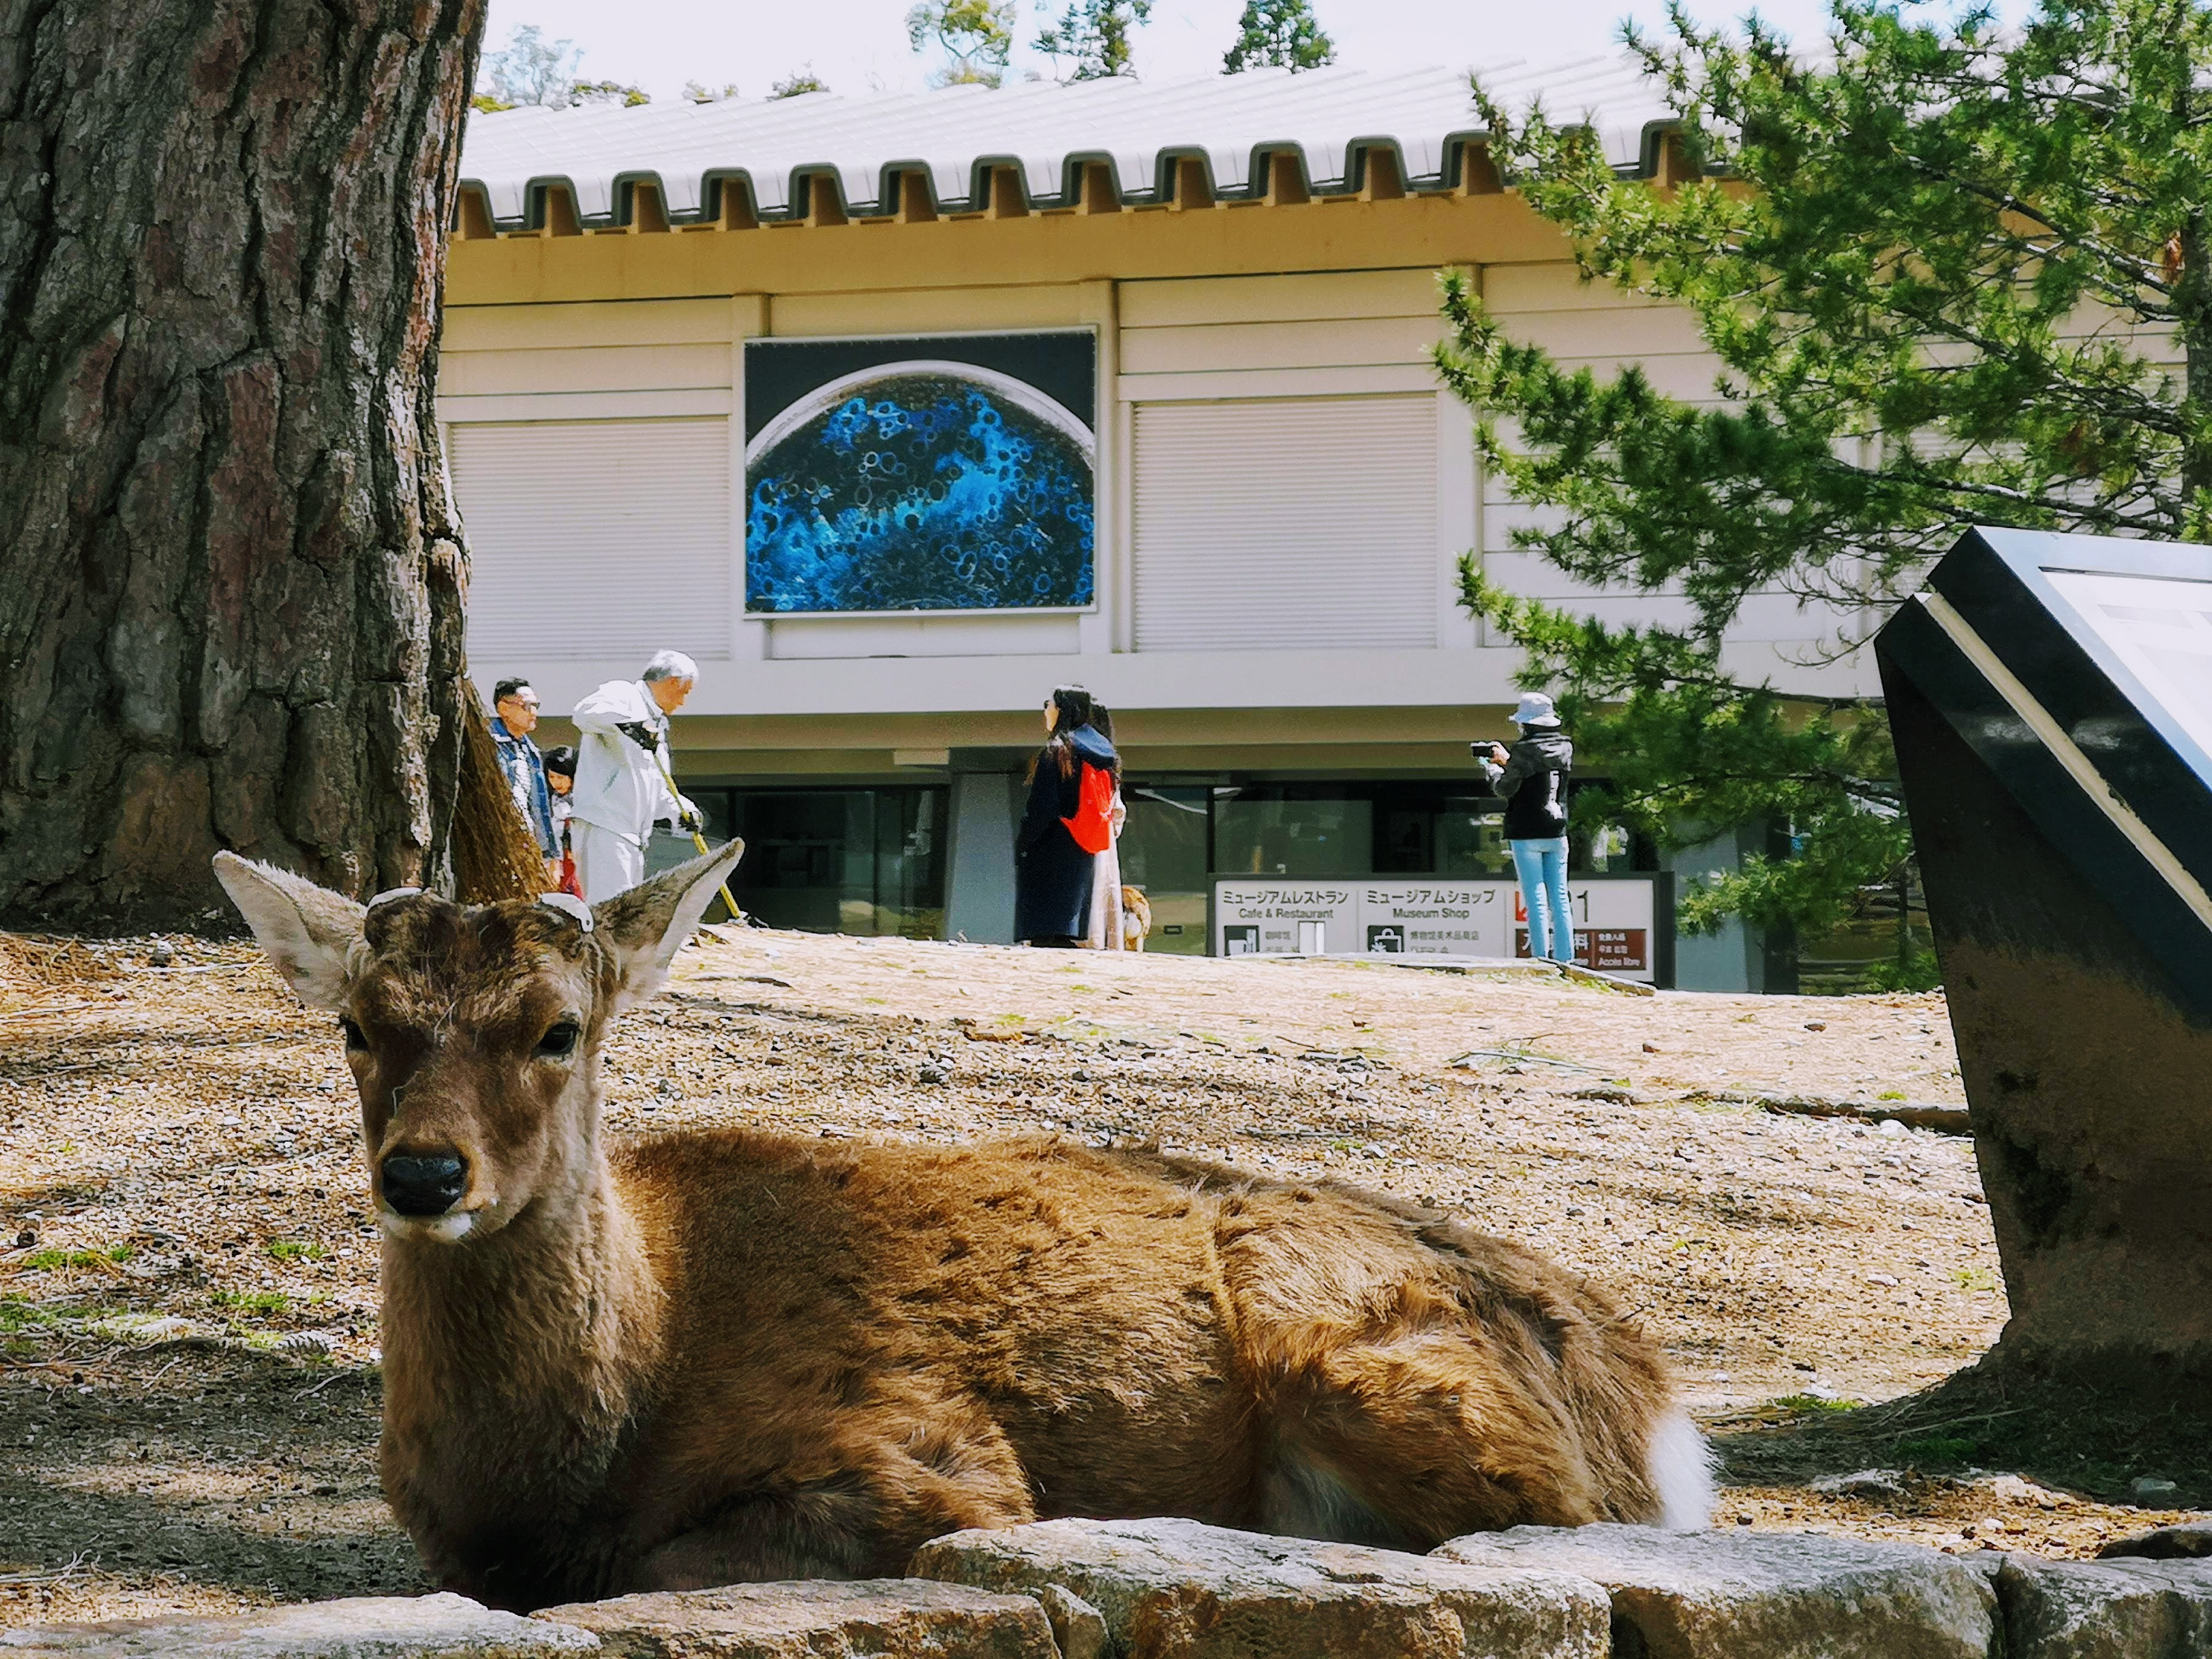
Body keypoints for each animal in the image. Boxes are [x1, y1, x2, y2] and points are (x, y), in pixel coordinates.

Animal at [215, 845, 1716, 1610]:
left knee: (1547, 1522)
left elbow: (648, 1564)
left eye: (557, 1028)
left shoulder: (932, 1457)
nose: (425, 1176)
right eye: (358, 1027)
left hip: (1368, 1354)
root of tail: (1650, 1400)